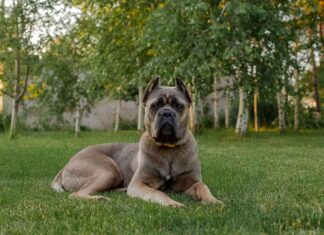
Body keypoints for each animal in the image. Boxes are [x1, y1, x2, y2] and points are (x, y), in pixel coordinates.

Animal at [52, 77, 223, 207]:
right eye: (155, 105)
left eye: (178, 106)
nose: (167, 113)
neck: (169, 148)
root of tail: (65, 166)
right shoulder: (139, 184)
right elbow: (157, 193)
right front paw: (171, 203)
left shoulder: (190, 183)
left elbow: (202, 186)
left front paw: (213, 200)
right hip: (108, 170)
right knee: (76, 194)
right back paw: (99, 198)